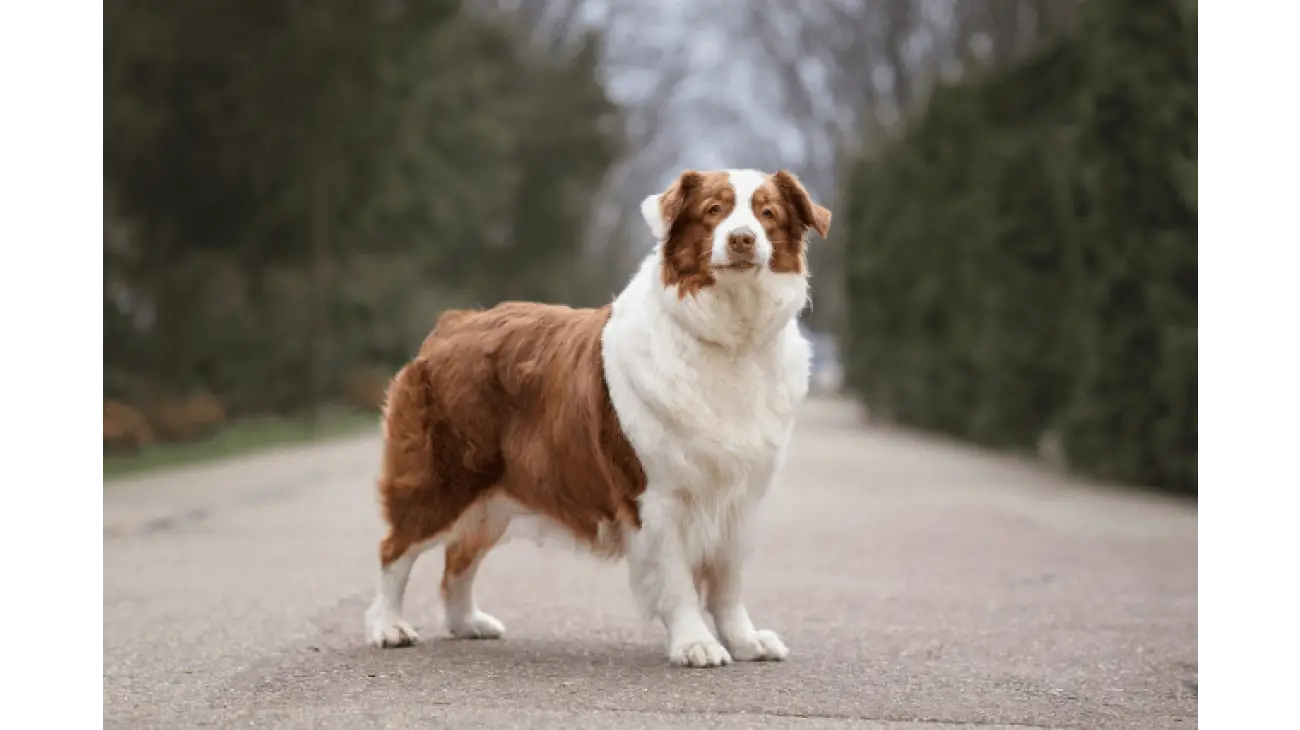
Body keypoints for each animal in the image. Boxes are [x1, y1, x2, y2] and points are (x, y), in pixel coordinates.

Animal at [366, 166, 832, 665]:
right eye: (714, 210)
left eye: (767, 213)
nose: (743, 239)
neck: (729, 337)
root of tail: (451, 324)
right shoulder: (657, 494)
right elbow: (677, 579)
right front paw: (695, 643)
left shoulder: (740, 496)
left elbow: (728, 582)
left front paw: (744, 641)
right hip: (442, 479)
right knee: (395, 549)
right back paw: (389, 626)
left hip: (492, 495)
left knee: (459, 557)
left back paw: (467, 623)